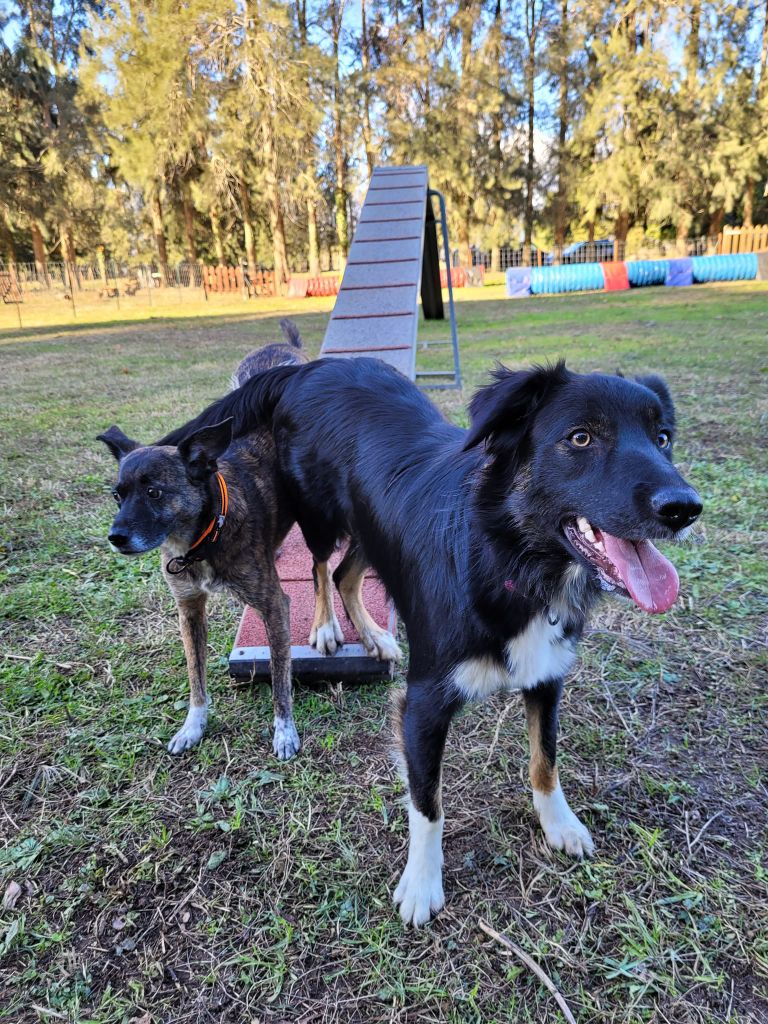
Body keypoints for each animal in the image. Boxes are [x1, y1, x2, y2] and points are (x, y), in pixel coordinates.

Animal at [160, 358, 704, 929]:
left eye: (662, 438)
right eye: (581, 437)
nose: (685, 509)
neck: (511, 559)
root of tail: (311, 367)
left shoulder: (547, 675)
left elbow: (545, 759)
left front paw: (559, 823)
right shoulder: (423, 703)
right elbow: (428, 802)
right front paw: (421, 883)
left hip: (368, 526)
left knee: (348, 574)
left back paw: (376, 637)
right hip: (320, 516)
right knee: (320, 567)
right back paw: (328, 628)